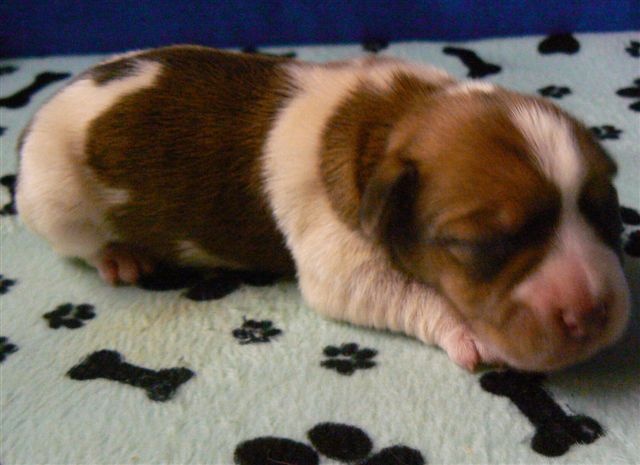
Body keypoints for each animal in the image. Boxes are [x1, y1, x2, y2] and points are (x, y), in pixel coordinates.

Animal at [16, 45, 630, 372]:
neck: (389, 119)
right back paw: (119, 256)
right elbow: (393, 289)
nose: (594, 313)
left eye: (608, 212)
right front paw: (467, 331)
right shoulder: (338, 254)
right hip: (55, 201)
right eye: (484, 244)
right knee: (78, 243)